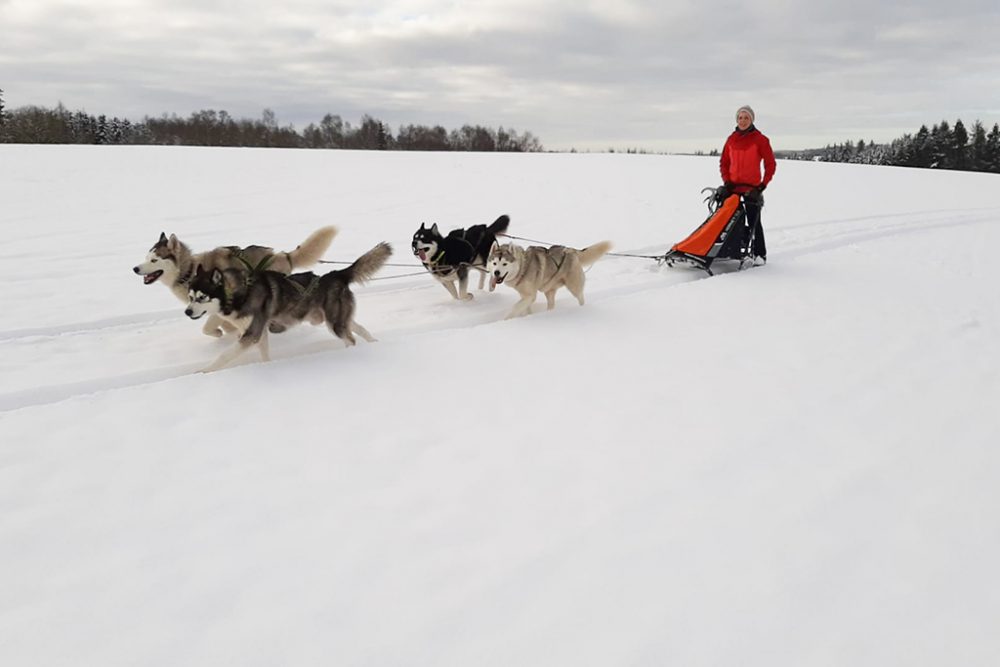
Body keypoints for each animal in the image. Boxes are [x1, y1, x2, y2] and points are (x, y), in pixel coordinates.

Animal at [135, 227, 338, 336]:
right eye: (146, 258)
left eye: (154, 260)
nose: (135, 268)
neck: (189, 270)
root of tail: (283, 255)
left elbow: (208, 327)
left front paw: (220, 332)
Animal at [184, 241, 390, 376]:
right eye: (190, 296)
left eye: (201, 297)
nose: (187, 312)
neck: (238, 294)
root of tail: (336, 275)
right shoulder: (258, 332)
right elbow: (264, 354)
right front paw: (267, 366)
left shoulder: (252, 333)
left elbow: (224, 355)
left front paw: (204, 371)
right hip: (339, 319)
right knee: (360, 329)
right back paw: (373, 342)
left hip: (335, 324)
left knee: (351, 339)